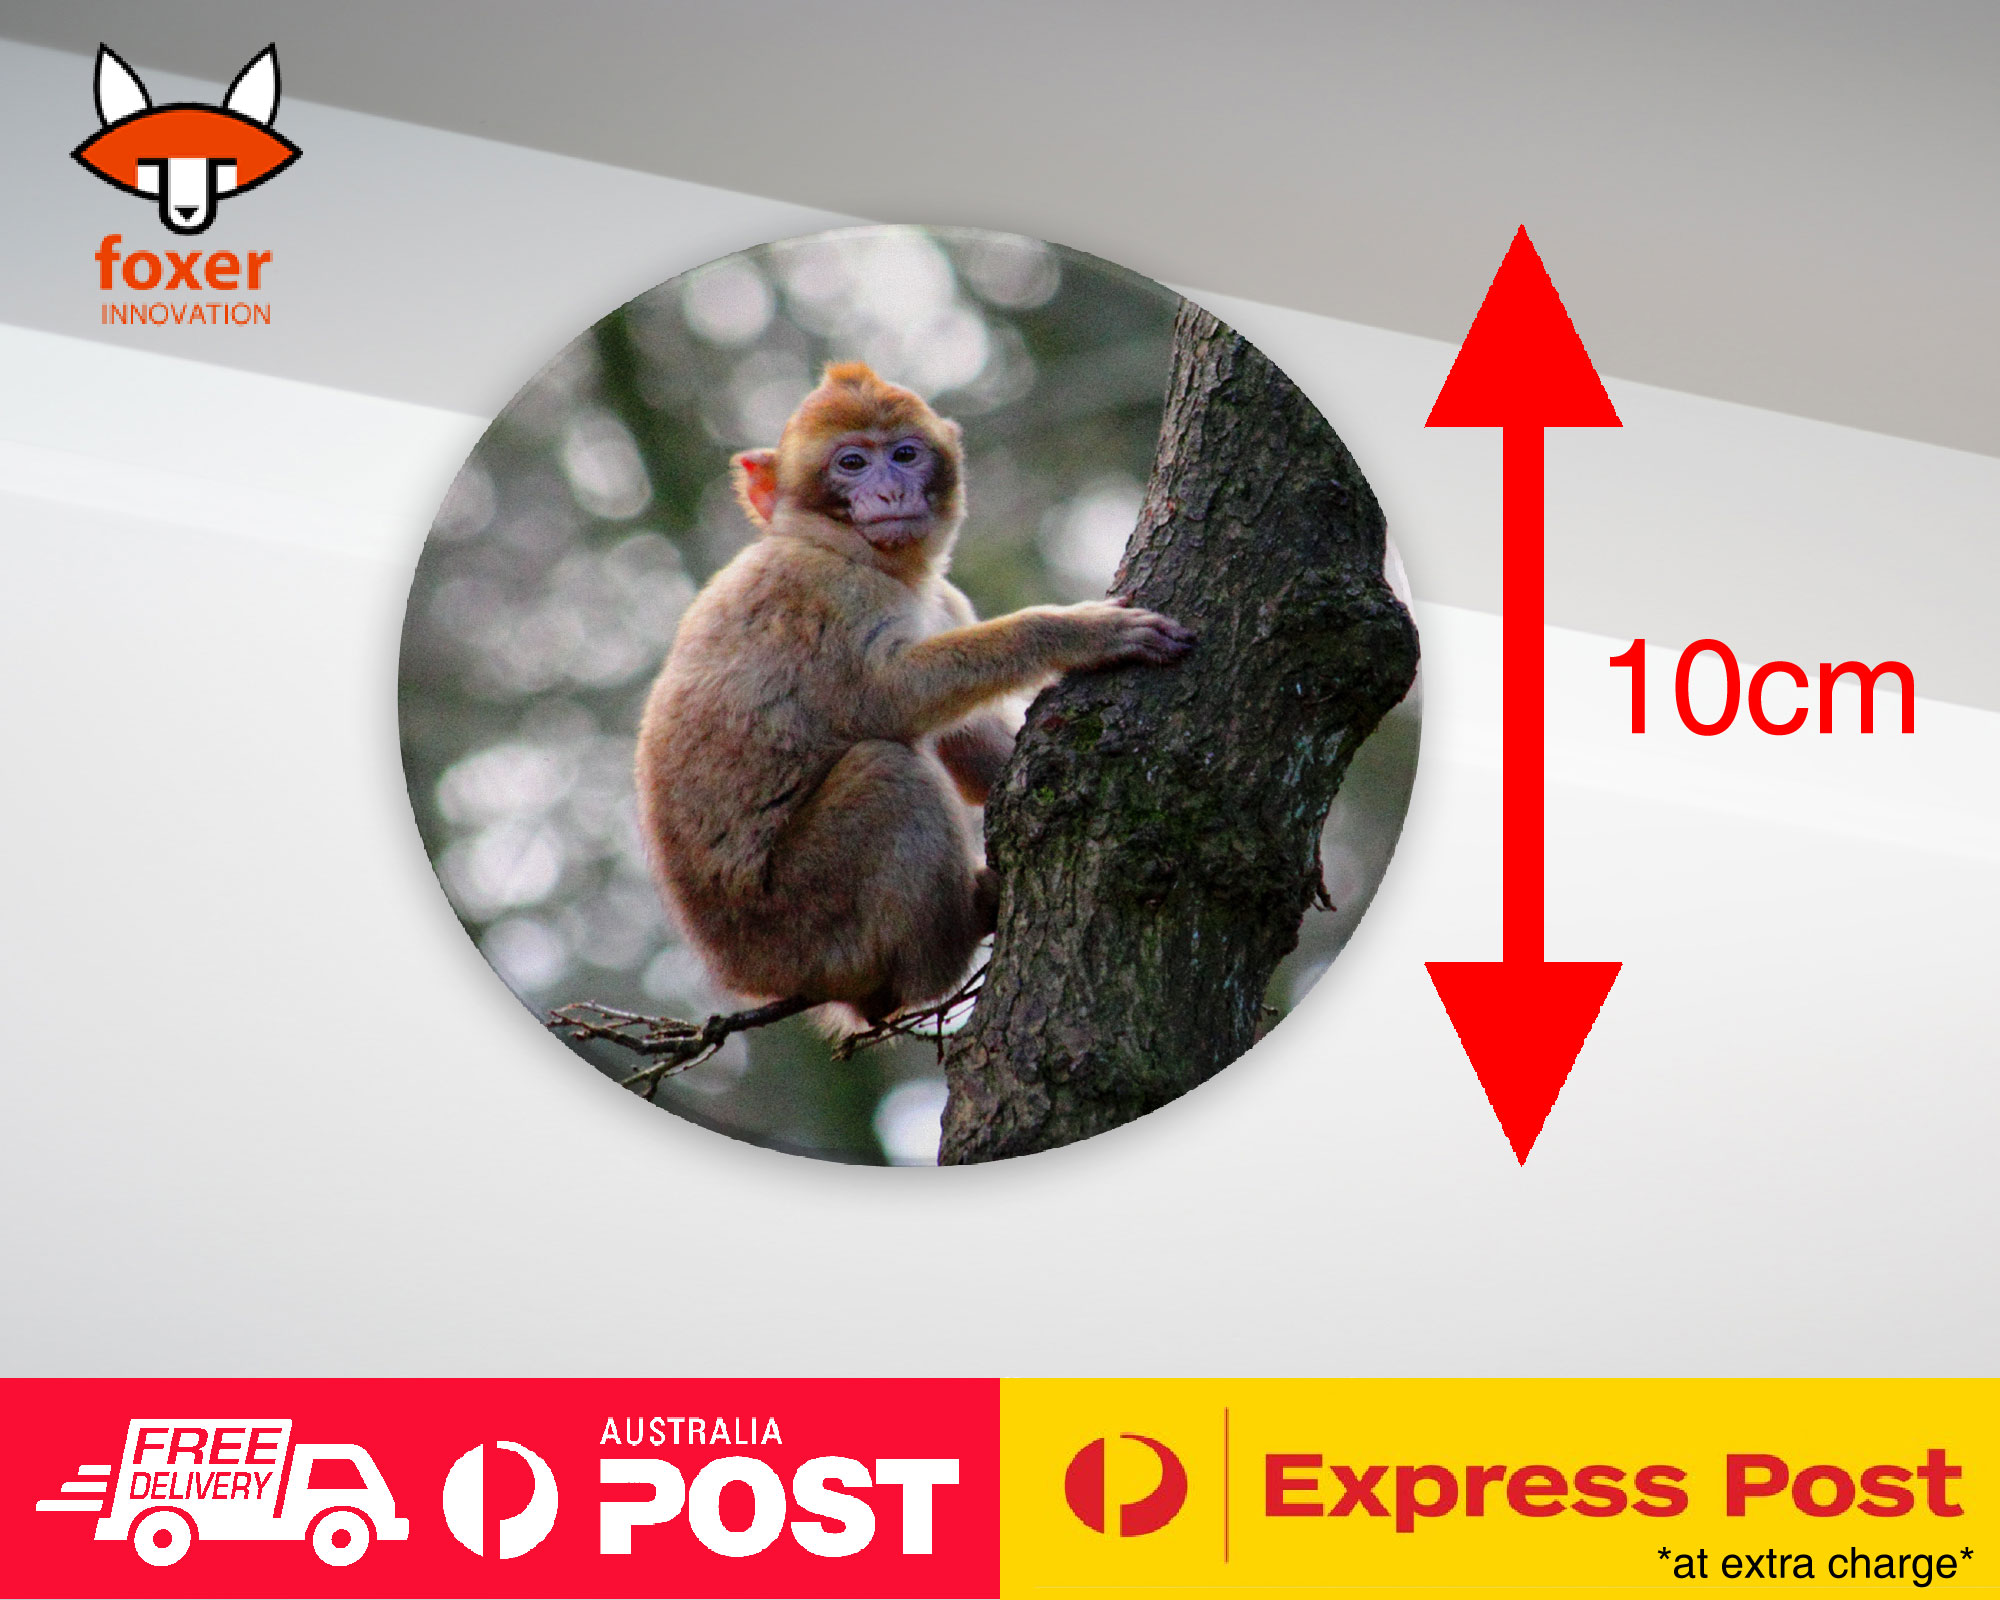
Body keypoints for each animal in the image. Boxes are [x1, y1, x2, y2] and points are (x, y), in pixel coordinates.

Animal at [634, 361, 1194, 1029]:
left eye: (905, 455)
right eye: (852, 463)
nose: (889, 493)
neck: (869, 561)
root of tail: (746, 974)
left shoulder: (946, 601)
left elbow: (970, 748)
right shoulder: (823, 591)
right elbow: (885, 702)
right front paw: (1076, 632)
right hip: (802, 919)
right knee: (888, 770)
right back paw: (954, 940)